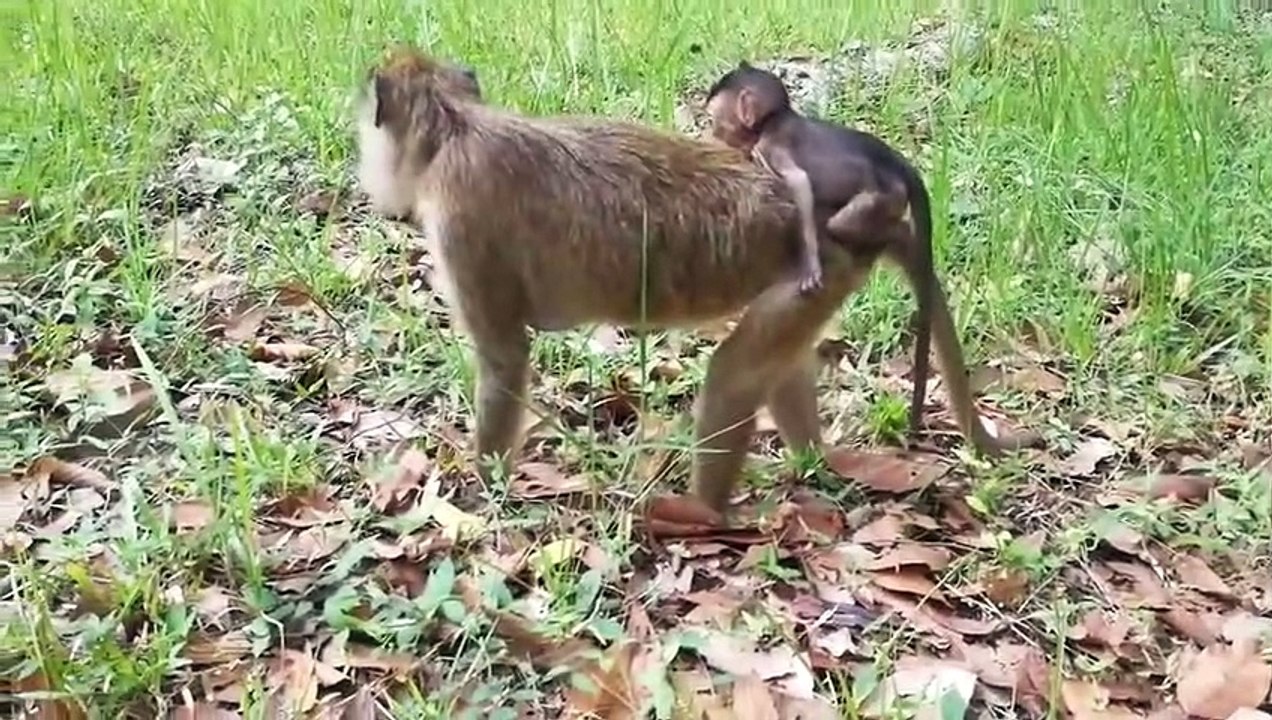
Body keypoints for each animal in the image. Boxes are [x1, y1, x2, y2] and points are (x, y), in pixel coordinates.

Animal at [704, 61, 937, 442]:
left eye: (715, 120)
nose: (712, 133)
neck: (777, 120)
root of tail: (900, 167)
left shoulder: (771, 149)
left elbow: (800, 185)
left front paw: (810, 266)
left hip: (881, 198)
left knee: (844, 224)